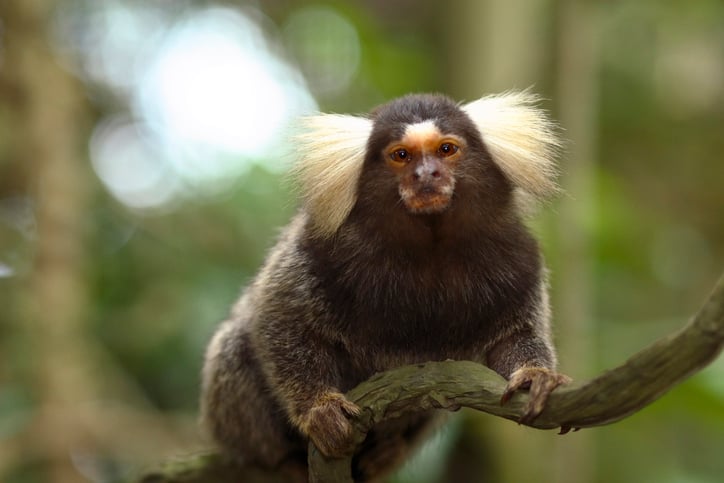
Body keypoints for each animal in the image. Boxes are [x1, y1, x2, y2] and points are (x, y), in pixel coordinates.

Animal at [200, 91, 571, 482]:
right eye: (401, 155)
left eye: (447, 149)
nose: (427, 175)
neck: (430, 244)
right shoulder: (317, 248)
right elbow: (279, 319)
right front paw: (319, 410)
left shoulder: (519, 258)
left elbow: (515, 337)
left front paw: (535, 376)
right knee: (235, 344)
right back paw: (283, 461)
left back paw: (386, 450)